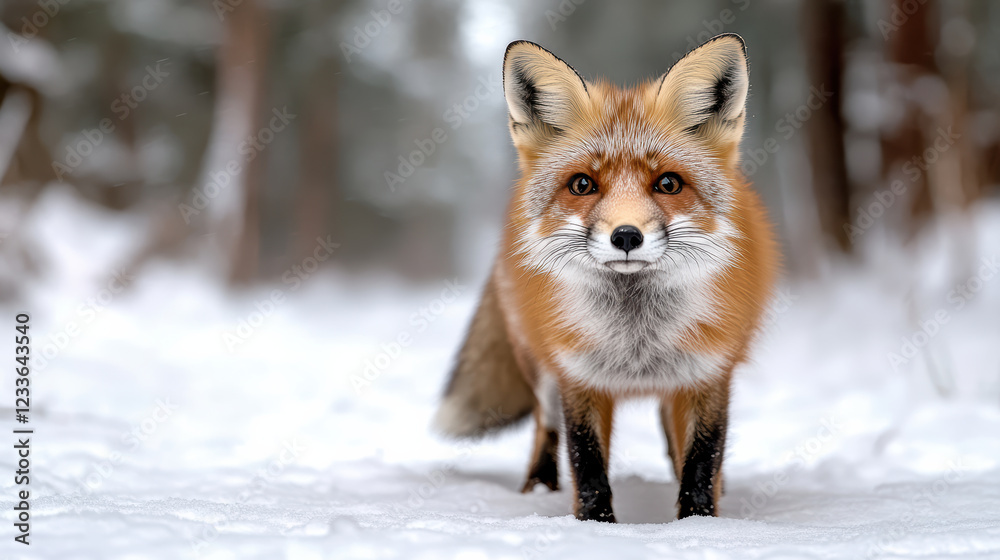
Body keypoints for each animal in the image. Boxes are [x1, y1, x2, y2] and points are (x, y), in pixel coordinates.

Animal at [434, 33, 778, 523]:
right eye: (582, 185)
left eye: (668, 184)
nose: (627, 236)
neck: (635, 342)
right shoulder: (578, 374)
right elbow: (587, 460)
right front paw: (596, 525)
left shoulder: (709, 372)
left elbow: (701, 458)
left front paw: (698, 523)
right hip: (540, 369)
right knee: (544, 425)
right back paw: (538, 487)